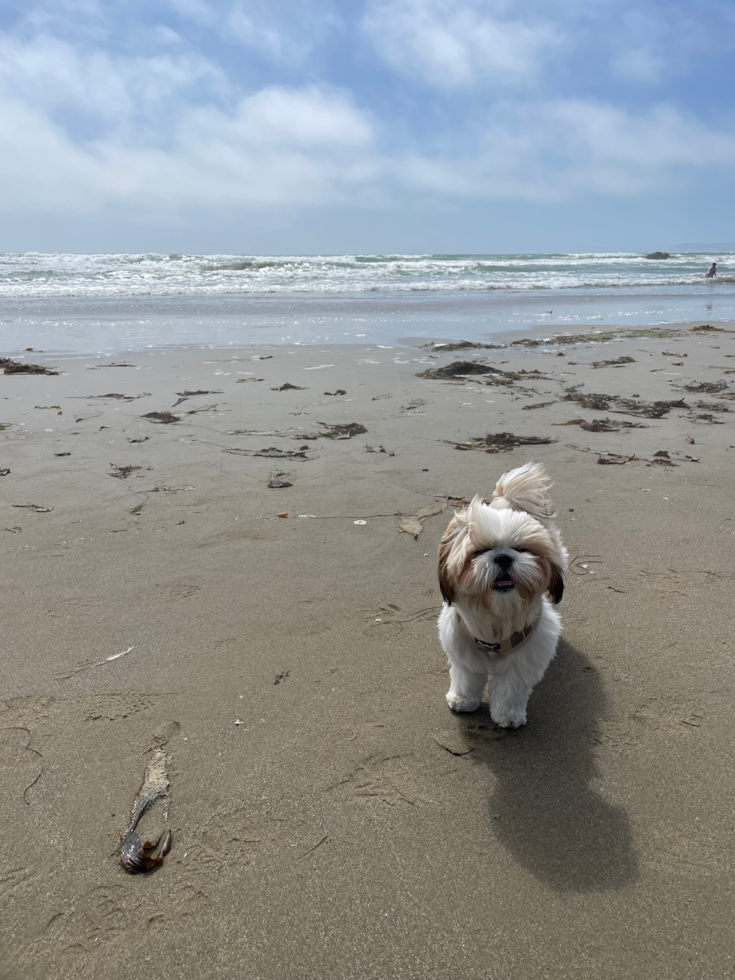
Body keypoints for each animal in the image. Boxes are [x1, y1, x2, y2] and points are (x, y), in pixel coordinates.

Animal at [436, 462, 568, 728]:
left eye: (522, 549)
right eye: (481, 551)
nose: (504, 557)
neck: (496, 613)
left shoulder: (523, 655)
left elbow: (510, 686)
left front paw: (508, 715)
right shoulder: (462, 643)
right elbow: (468, 674)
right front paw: (463, 700)